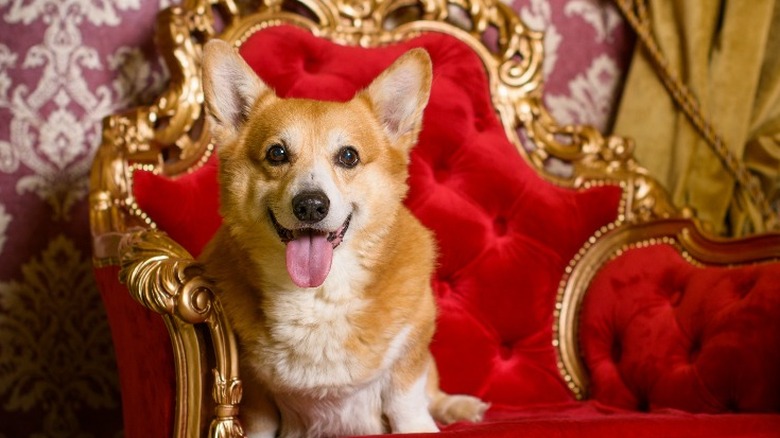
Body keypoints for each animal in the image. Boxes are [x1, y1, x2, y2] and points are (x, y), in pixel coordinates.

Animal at [198, 38, 484, 438]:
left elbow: (408, 403)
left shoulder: (412, 348)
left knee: (433, 393)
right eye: (277, 153)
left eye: (348, 156)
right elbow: (258, 422)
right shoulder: (253, 387)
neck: (318, 295)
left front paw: (423, 422)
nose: (310, 206)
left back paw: (460, 406)